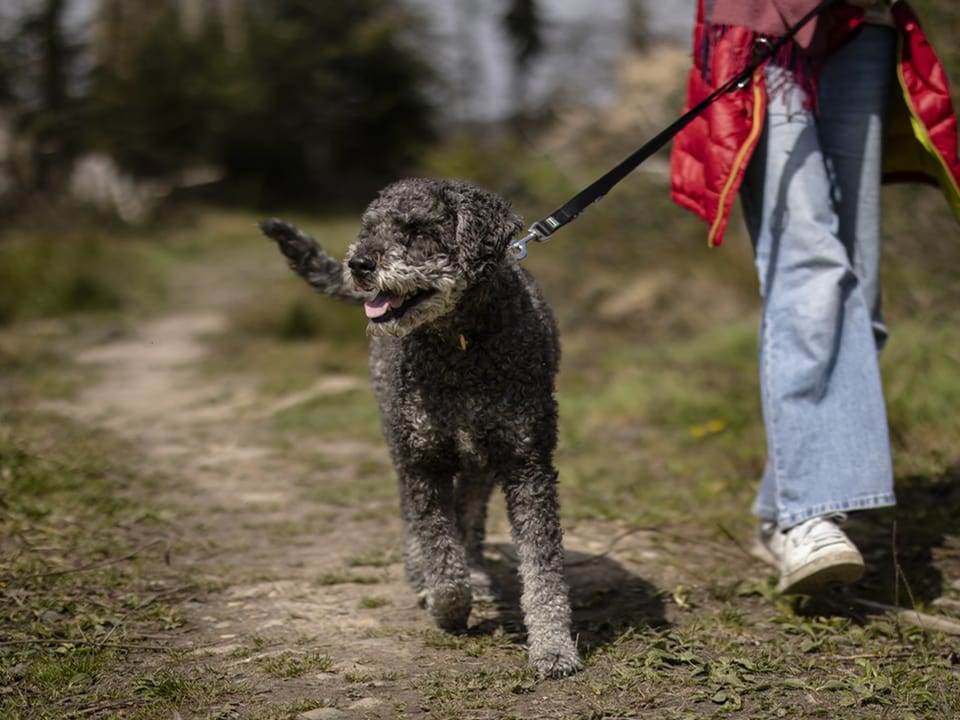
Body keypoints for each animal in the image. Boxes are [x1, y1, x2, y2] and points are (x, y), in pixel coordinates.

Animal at [258, 177, 580, 676]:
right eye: (370, 228)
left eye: (418, 230)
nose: (359, 264)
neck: (460, 343)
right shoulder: (423, 461)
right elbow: (440, 553)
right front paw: (445, 605)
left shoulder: (527, 463)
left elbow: (542, 568)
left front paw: (554, 648)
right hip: (402, 445)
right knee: (414, 516)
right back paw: (420, 573)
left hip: (479, 462)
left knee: (470, 515)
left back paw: (478, 572)